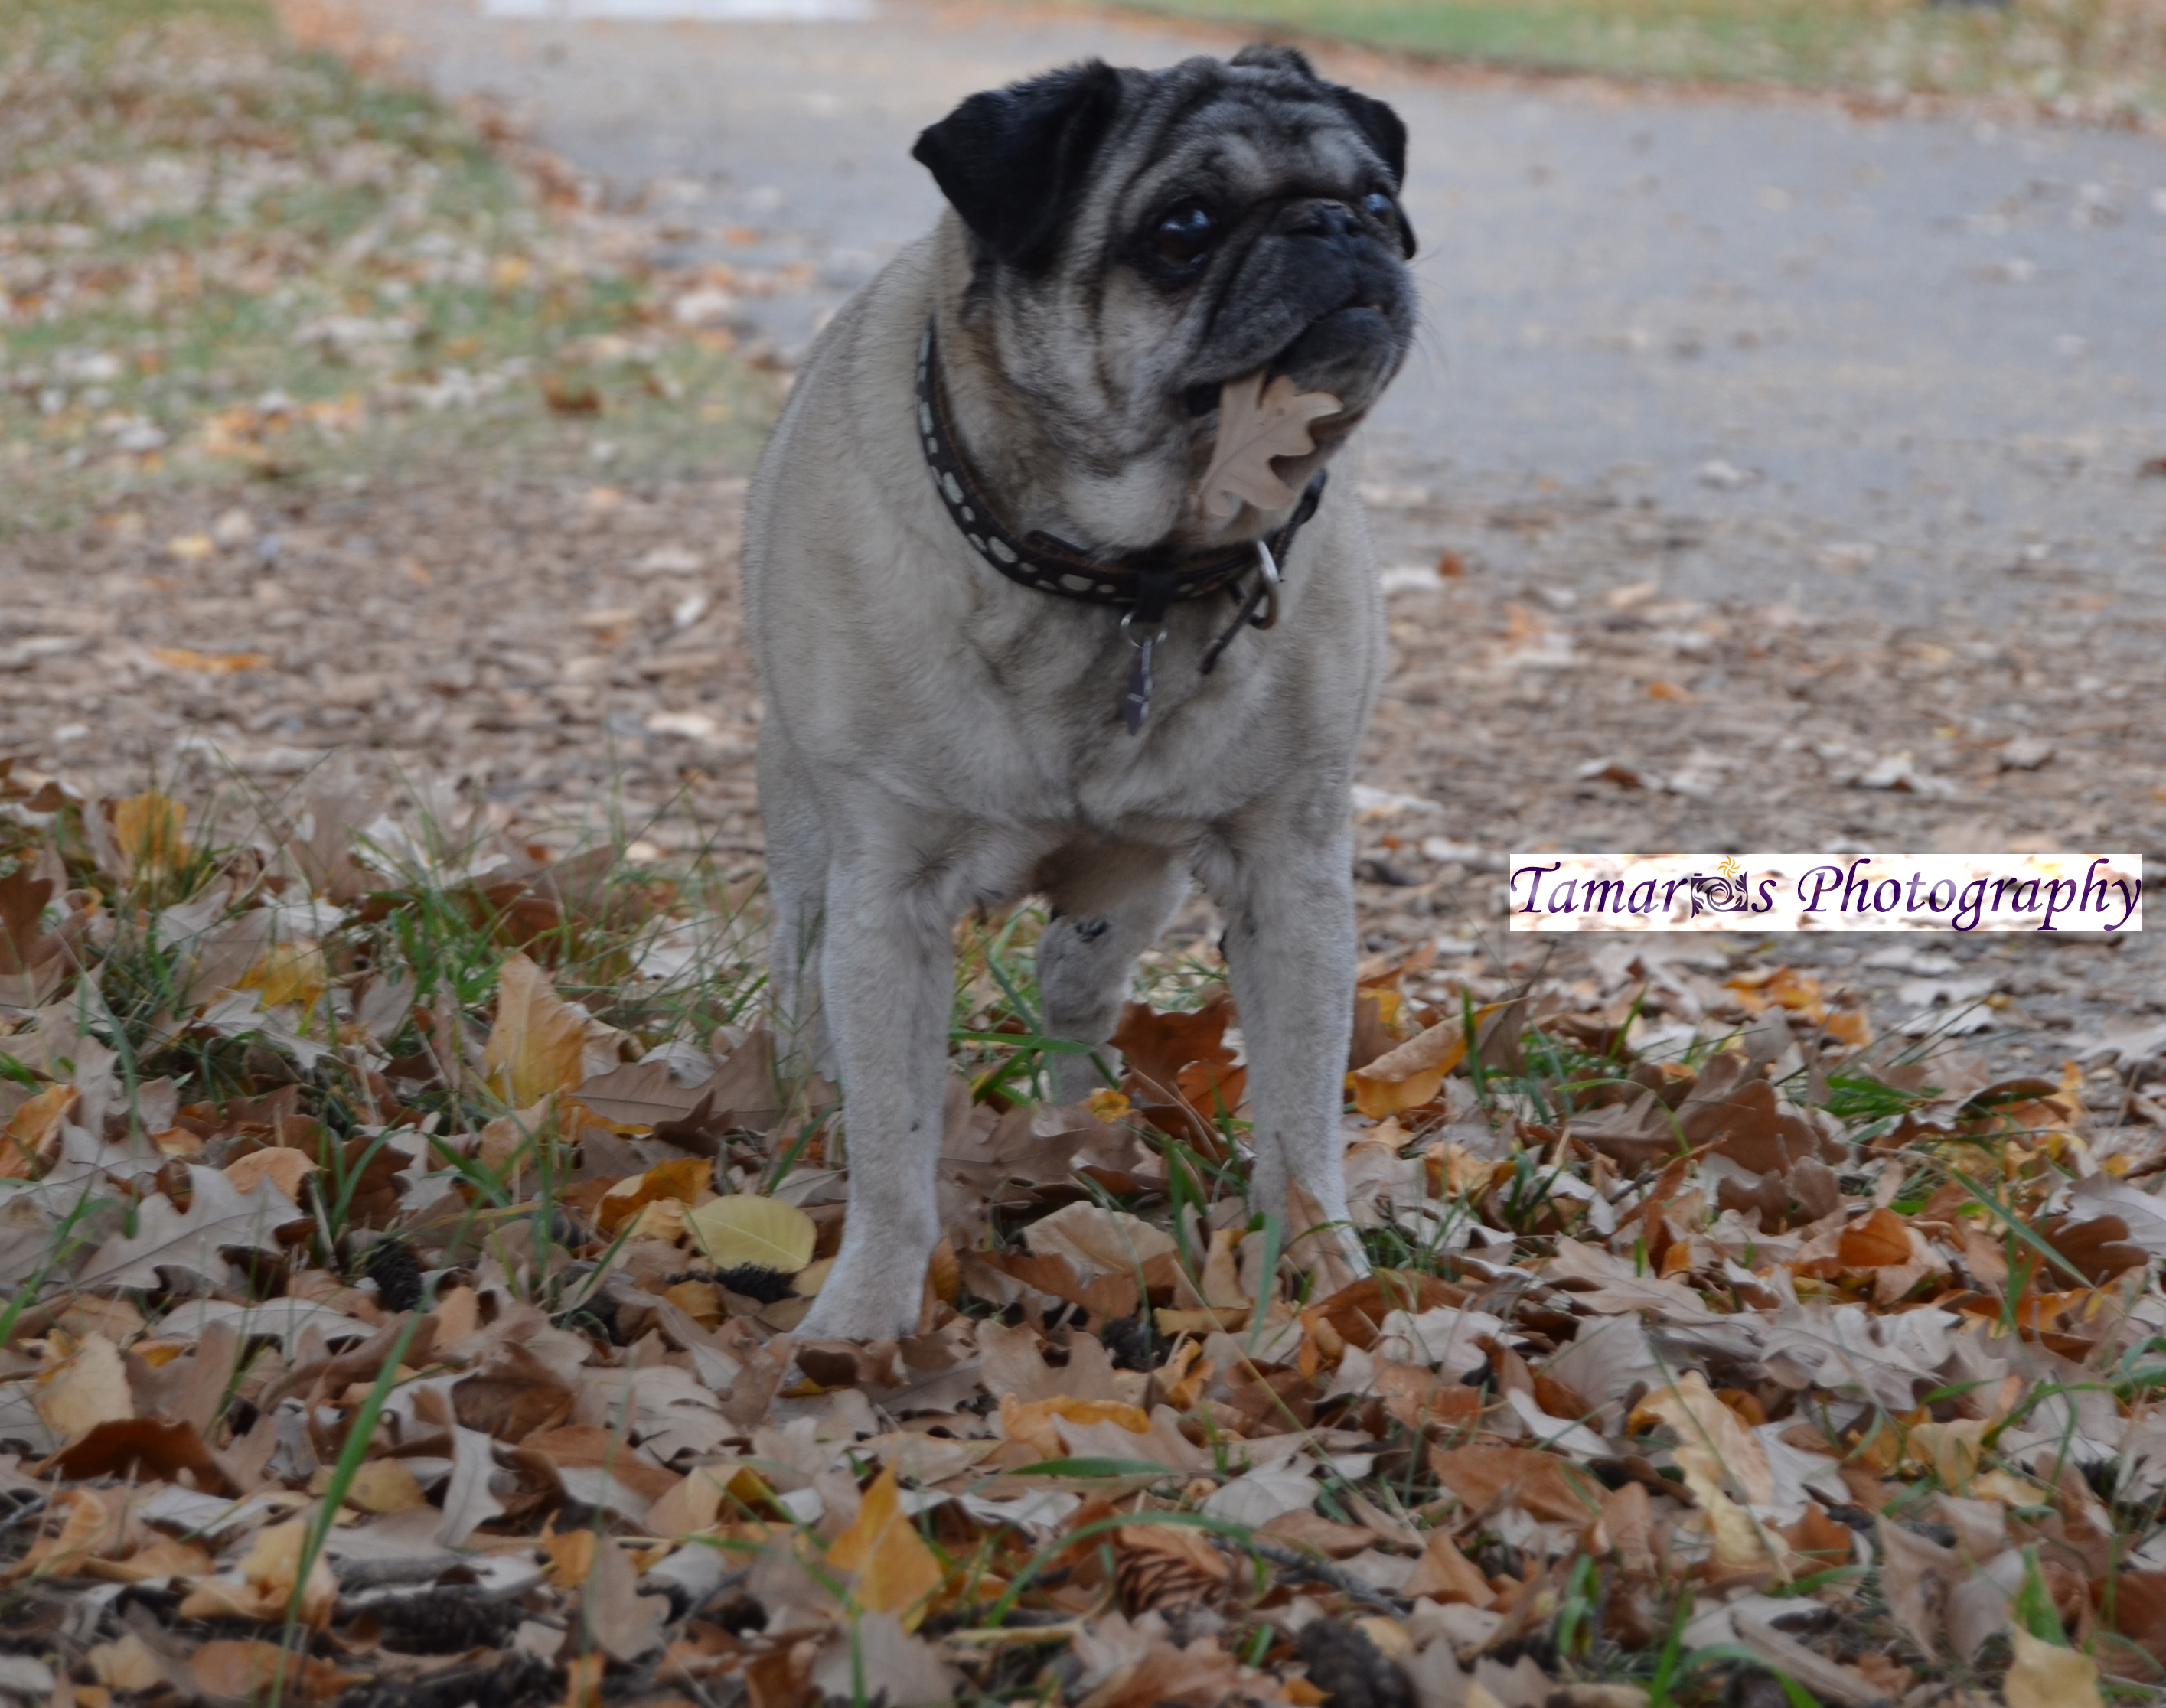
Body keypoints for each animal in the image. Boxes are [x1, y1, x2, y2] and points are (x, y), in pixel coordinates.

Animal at [742, 44, 1418, 1340]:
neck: (1128, 578)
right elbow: (892, 1148)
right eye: (1182, 228)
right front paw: (860, 1324)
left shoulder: (1293, 881)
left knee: (1074, 997)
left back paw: (1077, 1128)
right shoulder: (885, 902)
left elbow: (1301, 1123)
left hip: (1127, 899)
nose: (1331, 225)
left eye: (1378, 204)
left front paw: (1325, 1283)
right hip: (806, 856)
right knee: (801, 1000)